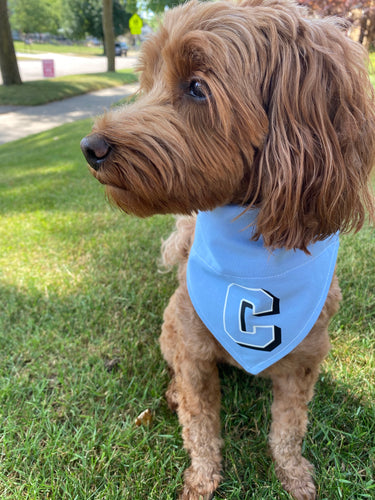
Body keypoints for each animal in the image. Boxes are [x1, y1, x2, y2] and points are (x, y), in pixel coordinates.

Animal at [80, 1, 375, 498]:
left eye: (198, 87)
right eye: (149, 78)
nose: (90, 147)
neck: (251, 249)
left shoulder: (304, 360)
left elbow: (288, 427)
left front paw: (293, 474)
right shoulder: (194, 353)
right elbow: (200, 425)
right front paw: (201, 480)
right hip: (170, 329)